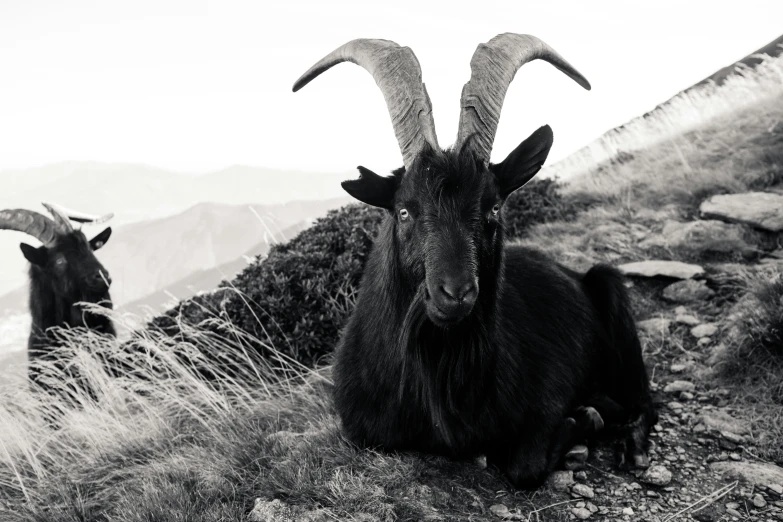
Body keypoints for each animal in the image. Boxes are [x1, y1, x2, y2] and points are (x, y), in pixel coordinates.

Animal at [298, 33, 660, 488]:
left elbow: (525, 468)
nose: (454, 293)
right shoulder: (363, 432)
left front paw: (586, 418)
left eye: (493, 207)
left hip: (610, 289)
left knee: (644, 400)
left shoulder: (548, 392)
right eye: (404, 210)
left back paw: (632, 445)